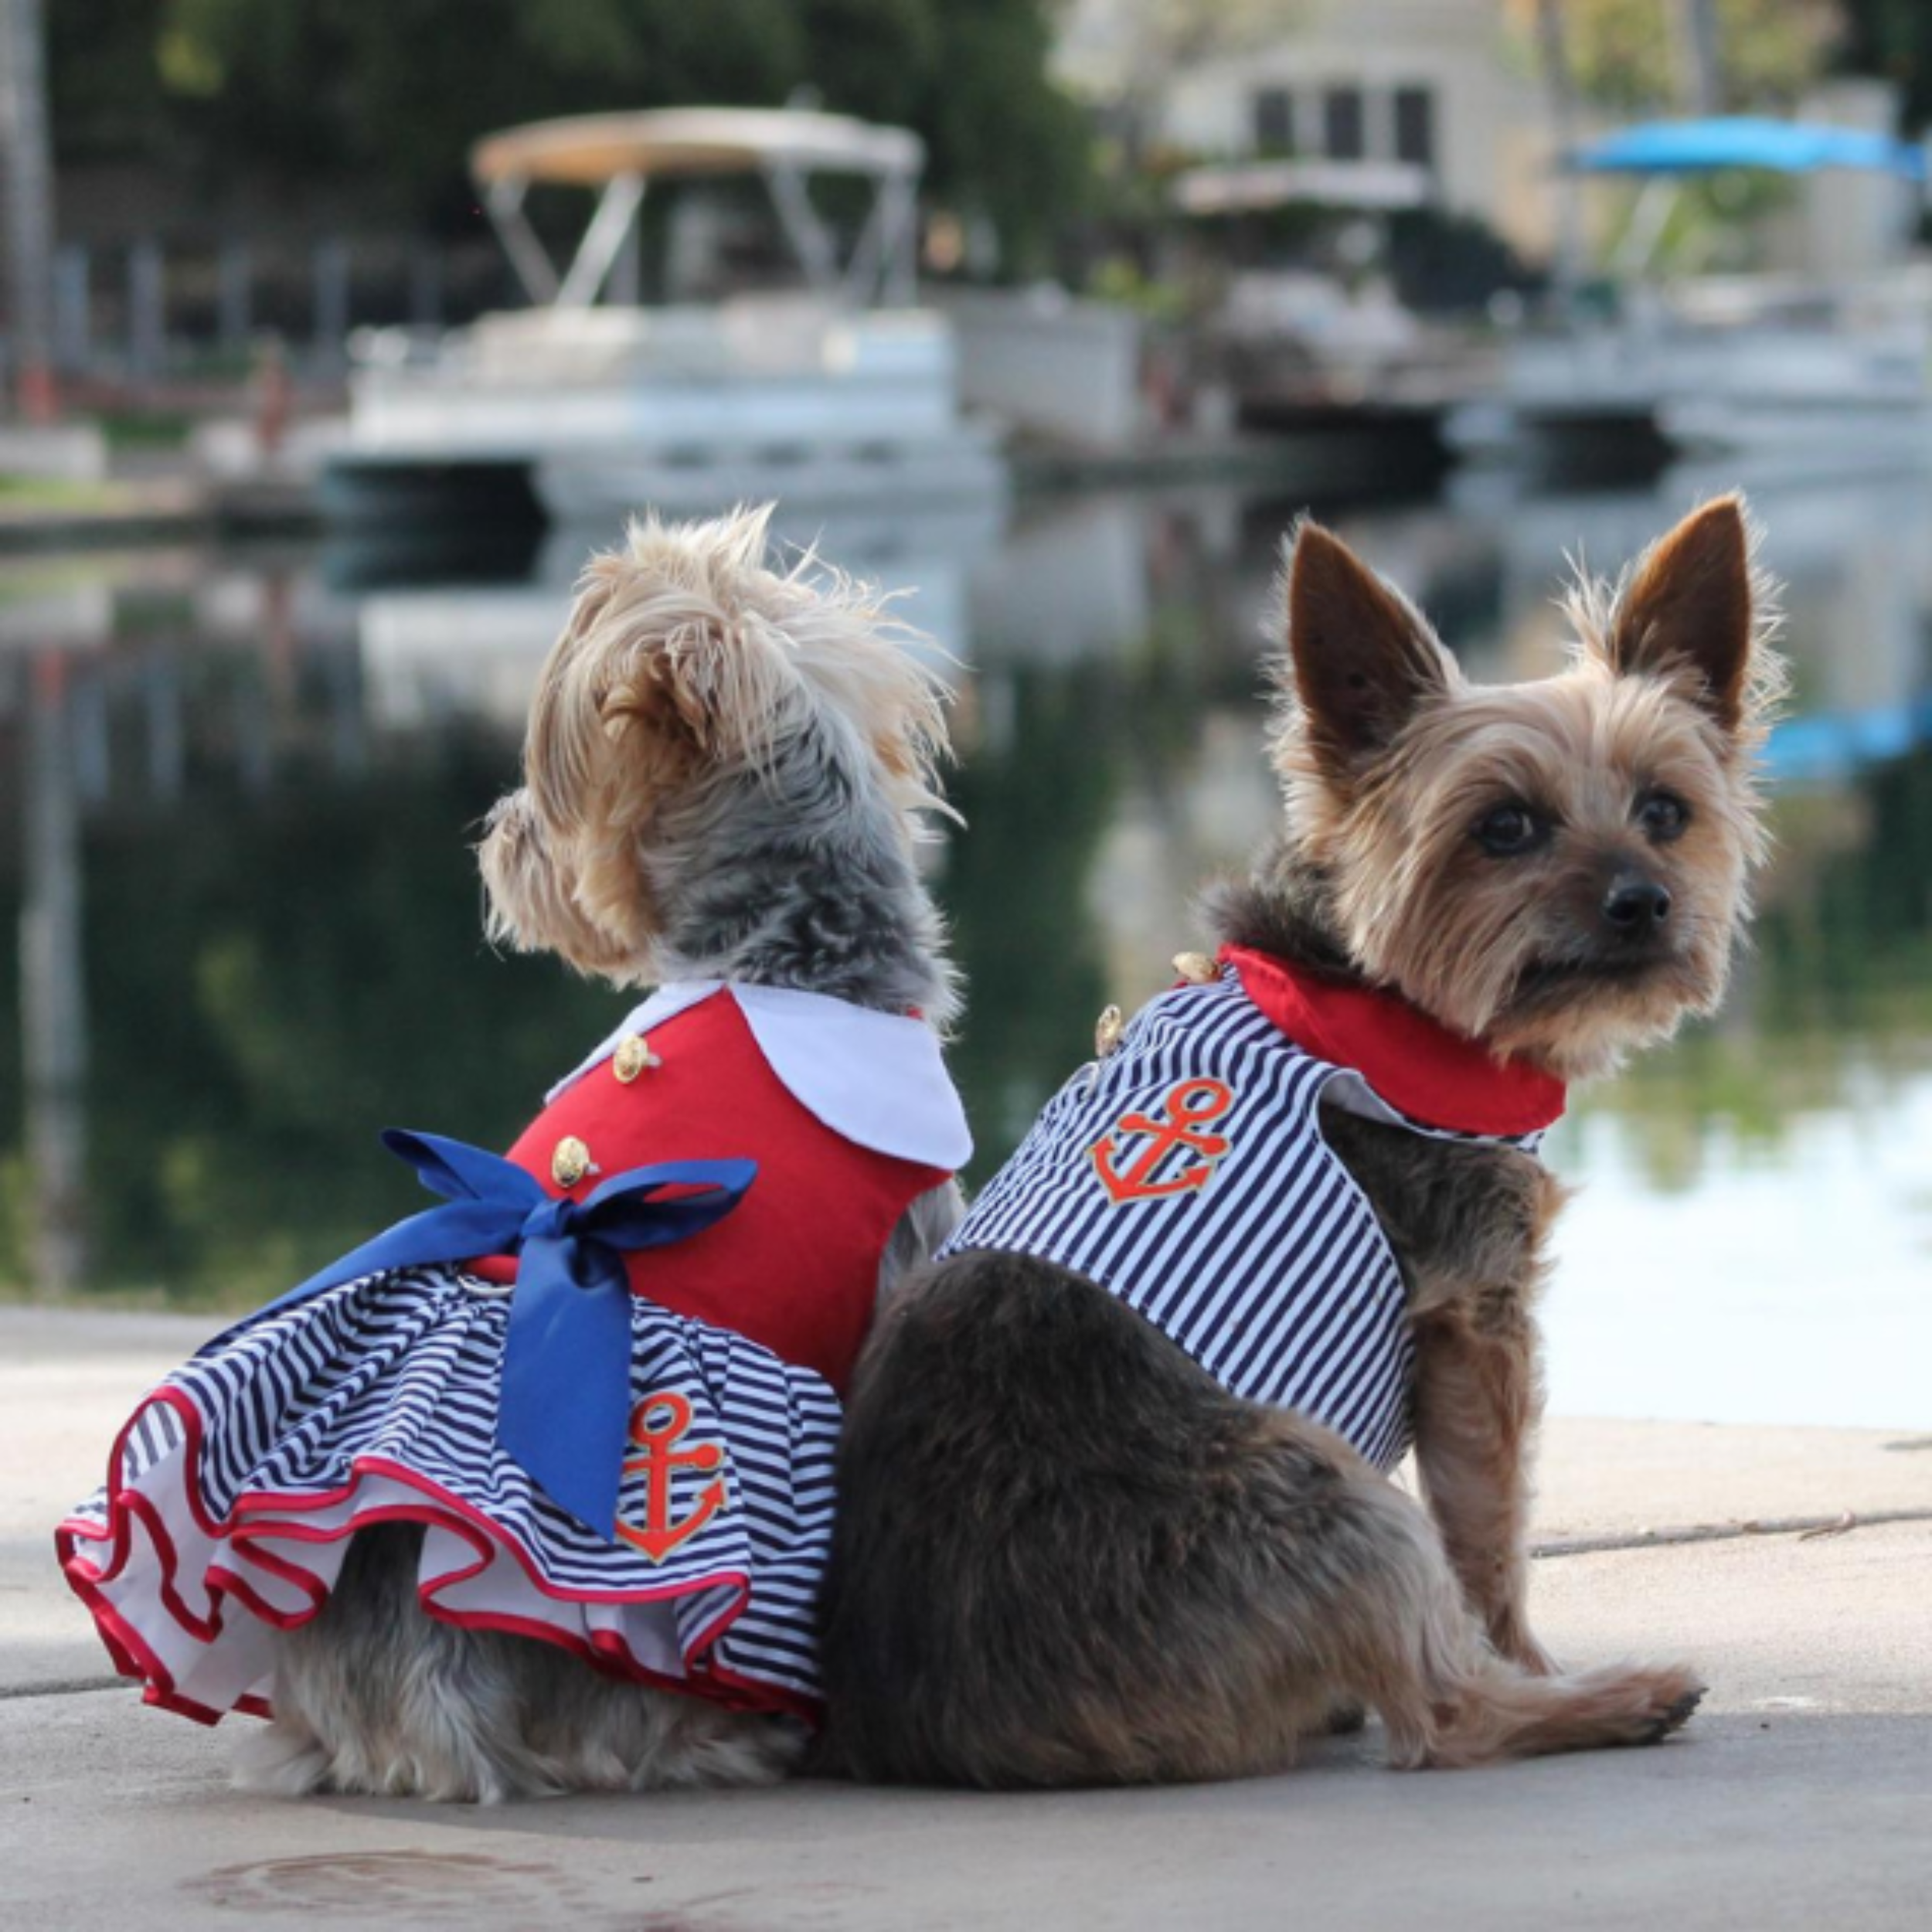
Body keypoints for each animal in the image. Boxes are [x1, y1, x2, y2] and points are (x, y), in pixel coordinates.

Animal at [819, 495, 1777, 1777]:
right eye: (1504, 827)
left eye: (1668, 812)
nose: (1643, 901)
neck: (1376, 988)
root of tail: (928, 1724)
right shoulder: (1475, 1317)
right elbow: (1491, 1537)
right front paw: (1529, 1662)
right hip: (1319, 1482)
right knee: (1441, 1715)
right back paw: (1606, 1701)